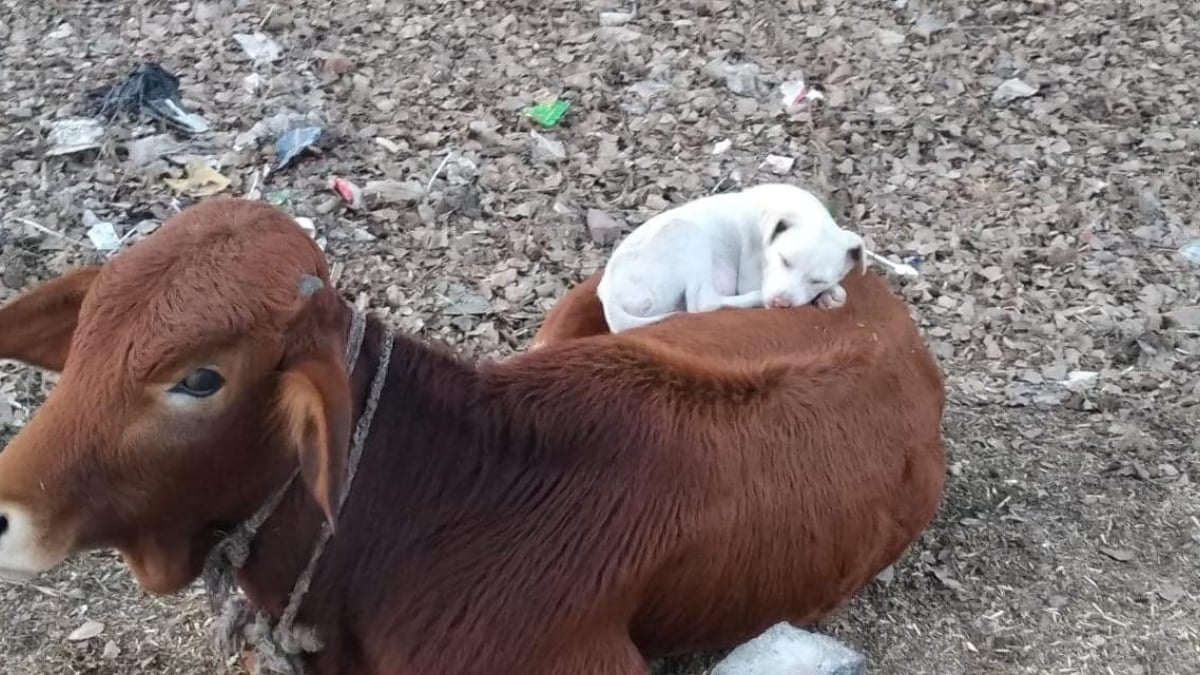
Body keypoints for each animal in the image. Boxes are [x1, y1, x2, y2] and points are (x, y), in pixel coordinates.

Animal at [597, 182, 864, 331]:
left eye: (818, 281)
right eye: (784, 259)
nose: (781, 304)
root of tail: (609, 297)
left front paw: (829, 296)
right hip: (686, 233)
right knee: (703, 303)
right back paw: (754, 299)